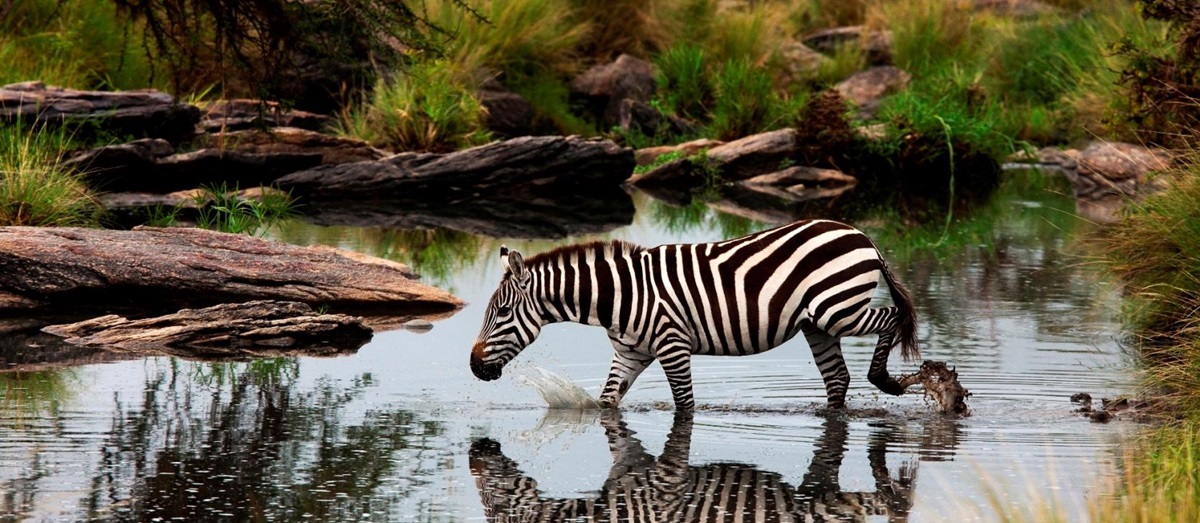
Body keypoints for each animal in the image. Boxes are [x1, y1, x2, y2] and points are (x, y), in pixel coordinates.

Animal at [470, 219, 920, 409]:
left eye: (503, 311)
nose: (474, 367)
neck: (618, 297)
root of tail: (860, 234)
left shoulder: (673, 345)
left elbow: (685, 405)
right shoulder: (630, 354)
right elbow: (607, 403)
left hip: (837, 310)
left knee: (890, 319)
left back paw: (885, 380)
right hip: (817, 324)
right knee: (837, 378)